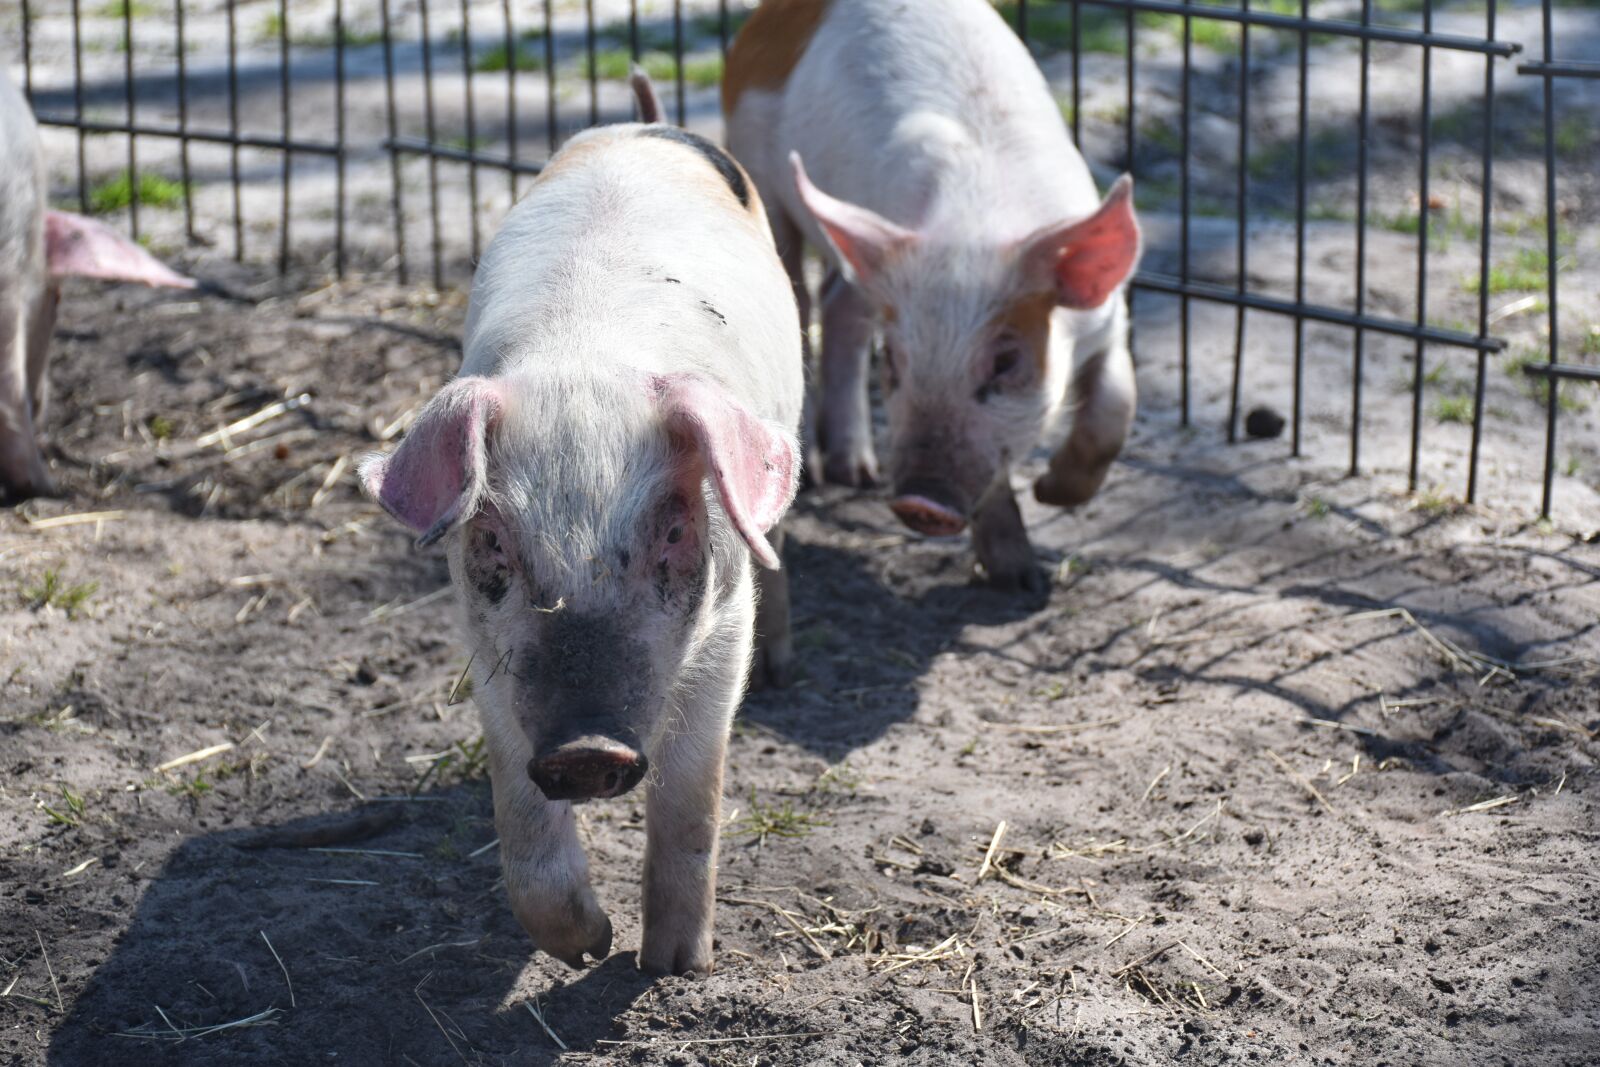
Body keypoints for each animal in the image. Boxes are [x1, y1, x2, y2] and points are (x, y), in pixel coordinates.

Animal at [359, 77, 803, 976]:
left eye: (675, 533)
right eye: (493, 540)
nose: (587, 748)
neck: (586, 362)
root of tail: (642, 121)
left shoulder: (723, 621)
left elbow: (692, 798)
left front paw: (672, 967)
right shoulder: (485, 640)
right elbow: (519, 819)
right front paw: (589, 947)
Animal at [724, 0, 1142, 591]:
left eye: (1007, 361)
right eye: (895, 362)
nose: (920, 503)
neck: (978, 223)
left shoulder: (1108, 318)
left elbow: (1113, 408)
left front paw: (1049, 501)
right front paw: (1018, 577)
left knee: (840, 304)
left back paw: (858, 474)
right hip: (759, 169)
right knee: (802, 307)